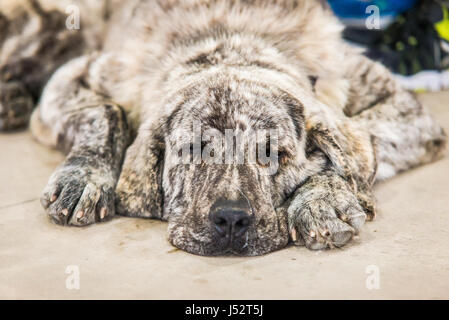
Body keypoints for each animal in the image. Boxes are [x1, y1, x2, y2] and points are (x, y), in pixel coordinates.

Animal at [1, 0, 446, 255]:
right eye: (193, 150)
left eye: (275, 155)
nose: (231, 220)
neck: (232, 42)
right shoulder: (77, 76)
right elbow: (105, 113)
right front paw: (84, 177)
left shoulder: (403, 107)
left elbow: (357, 149)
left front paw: (322, 199)